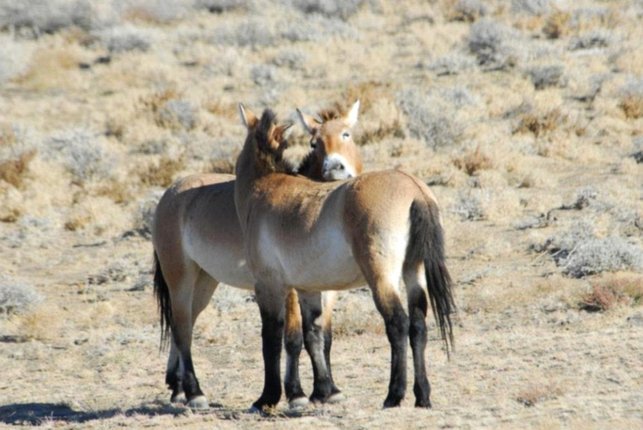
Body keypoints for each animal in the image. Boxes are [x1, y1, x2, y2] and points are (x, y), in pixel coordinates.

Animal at [152, 102, 363, 410]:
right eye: (314, 143)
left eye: (347, 134)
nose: (335, 168)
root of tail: (170, 193)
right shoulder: (288, 289)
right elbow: (293, 339)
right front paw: (297, 394)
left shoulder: (326, 290)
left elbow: (324, 337)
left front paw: (327, 390)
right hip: (181, 278)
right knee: (181, 328)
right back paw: (194, 393)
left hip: (204, 282)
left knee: (186, 323)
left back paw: (178, 389)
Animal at [234, 107, 456, 411]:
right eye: (314, 143)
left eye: (346, 135)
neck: (267, 185)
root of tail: (414, 189)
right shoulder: (308, 289)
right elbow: (314, 335)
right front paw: (323, 392)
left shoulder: (270, 286)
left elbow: (274, 338)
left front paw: (268, 398)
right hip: (414, 271)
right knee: (418, 325)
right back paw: (422, 396)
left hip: (381, 277)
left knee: (397, 323)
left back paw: (393, 395)